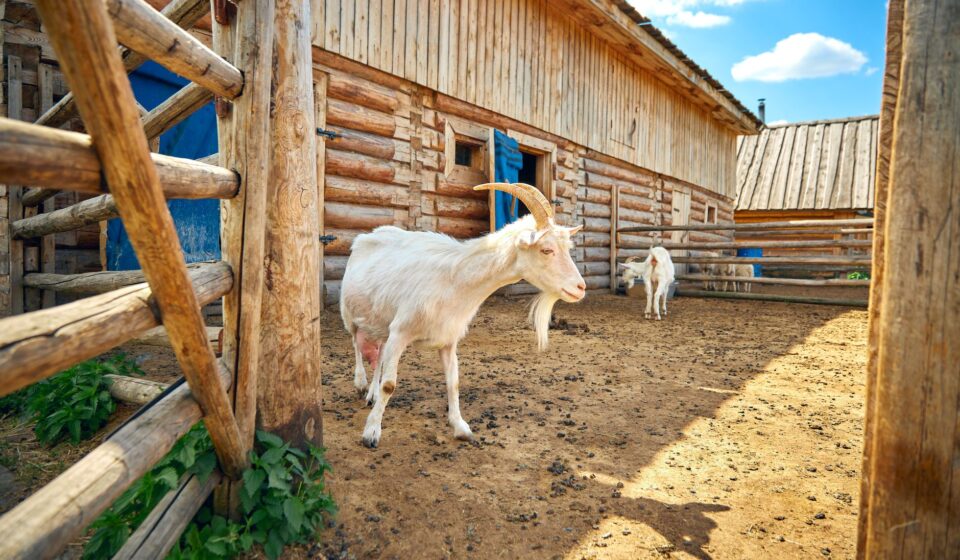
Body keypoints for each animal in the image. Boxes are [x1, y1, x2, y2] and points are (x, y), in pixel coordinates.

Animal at [340, 183, 585, 448]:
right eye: (546, 249)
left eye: (567, 248)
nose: (580, 287)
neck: (454, 281)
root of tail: (366, 236)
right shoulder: (400, 332)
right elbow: (389, 385)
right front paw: (371, 432)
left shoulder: (448, 340)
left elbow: (453, 382)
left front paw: (461, 428)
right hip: (349, 313)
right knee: (355, 343)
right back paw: (360, 383)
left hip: (383, 321)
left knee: (379, 354)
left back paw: (372, 395)